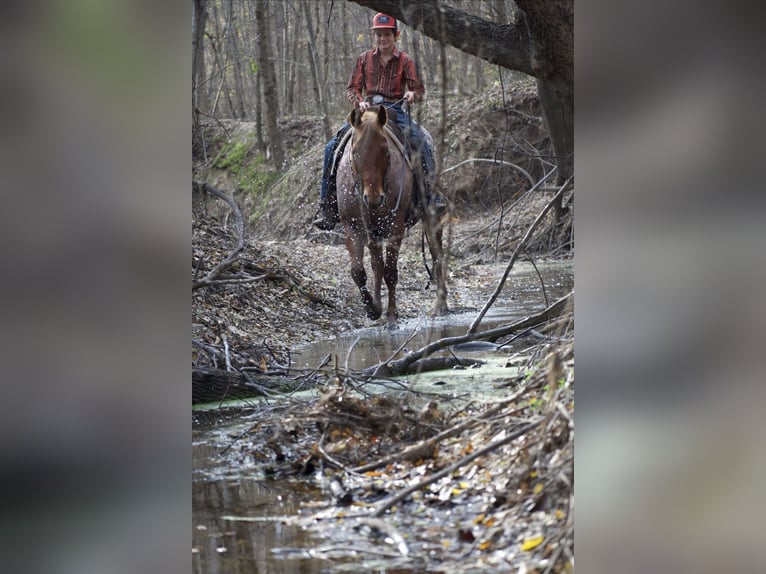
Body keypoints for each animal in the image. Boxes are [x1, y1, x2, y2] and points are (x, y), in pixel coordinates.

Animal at [335, 105, 448, 324]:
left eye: (386, 151)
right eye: (356, 153)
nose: (373, 198)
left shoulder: (395, 227)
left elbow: (390, 272)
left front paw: (392, 315)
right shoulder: (352, 226)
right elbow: (359, 271)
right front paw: (373, 309)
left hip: (431, 218)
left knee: (437, 255)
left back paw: (441, 306)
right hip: (373, 232)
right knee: (376, 263)